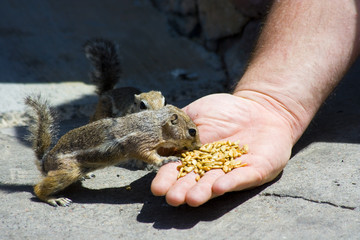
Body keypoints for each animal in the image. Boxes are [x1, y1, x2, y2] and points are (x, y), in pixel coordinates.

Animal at [24, 94, 201, 207]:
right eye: (192, 131)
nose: (199, 145)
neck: (156, 124)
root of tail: (46, 160)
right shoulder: (141, 143)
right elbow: (148, 155)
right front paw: (166, 159)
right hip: (68, 170)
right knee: (38, 188)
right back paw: (54, 199)